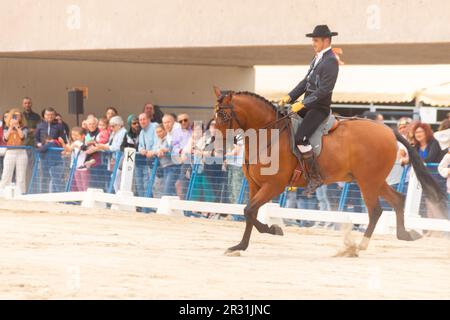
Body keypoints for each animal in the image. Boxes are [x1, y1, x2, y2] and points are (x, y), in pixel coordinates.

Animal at [214, 86, 446, 254]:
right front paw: (240, 246)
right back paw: (405, 234)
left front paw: (274, 229)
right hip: (373, 180)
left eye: (224, 117)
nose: (214, 142)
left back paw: (358, 246)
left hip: (368, 182)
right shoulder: (255, 185)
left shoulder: (273, 186)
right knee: (397, 199)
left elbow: (249, 211)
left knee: (375, 211)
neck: (269, 135)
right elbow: (249, 212)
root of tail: (388, 130)